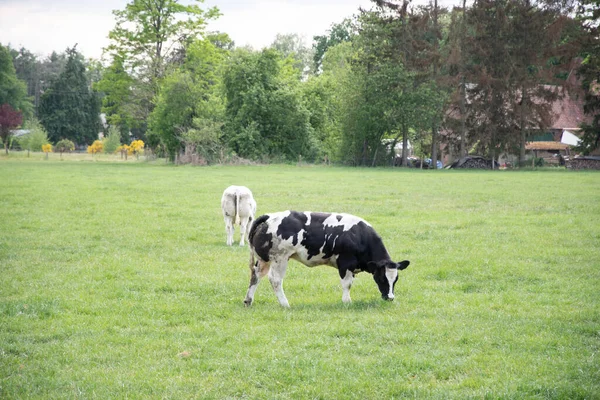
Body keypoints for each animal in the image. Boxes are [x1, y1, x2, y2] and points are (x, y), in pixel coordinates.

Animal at [243, 211, 408, 308]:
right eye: (381, 278)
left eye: (396, 280)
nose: (390, 297)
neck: (359, 235)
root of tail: (269, 216)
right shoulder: (346, 264)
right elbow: (347, 284)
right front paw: (347, 301)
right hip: (280, 258)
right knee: (275, 279)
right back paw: (285, 303)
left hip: (264, 260)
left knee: (256, 276)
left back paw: (248, 300)